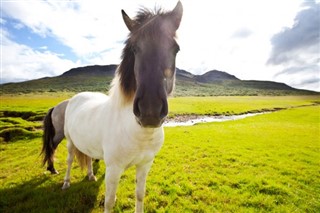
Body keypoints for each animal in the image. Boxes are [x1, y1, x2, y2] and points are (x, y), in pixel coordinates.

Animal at [43, 2, 182, 213]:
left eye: (175, 49)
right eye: (134, 49)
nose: (150, 111)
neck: (138, 134)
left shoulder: (145, 165)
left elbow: (139, 195)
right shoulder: (114, 169)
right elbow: (108, 201)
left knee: (88, 157)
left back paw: (91, 175)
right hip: (69, 141)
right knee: (69, 160)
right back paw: (65, 182)